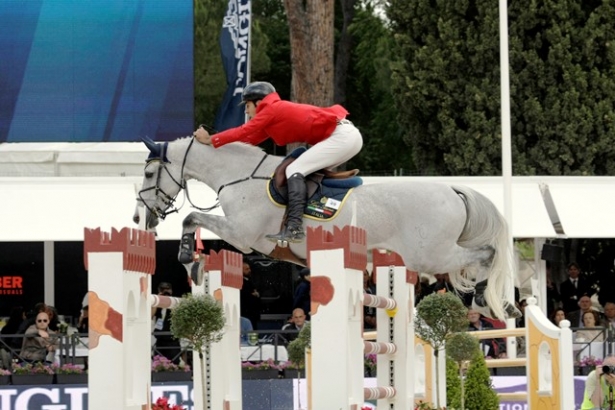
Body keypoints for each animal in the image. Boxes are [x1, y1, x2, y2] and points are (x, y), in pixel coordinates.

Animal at [136, 136, 520, 318]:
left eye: (149, 173)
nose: (141, 218)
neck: (238, 175)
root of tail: (453, 190)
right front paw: (195, 263)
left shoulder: (242, 236)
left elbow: (191, 217)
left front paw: (191, 260)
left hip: (432, 255)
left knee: (487, 252)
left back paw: (487, 299)